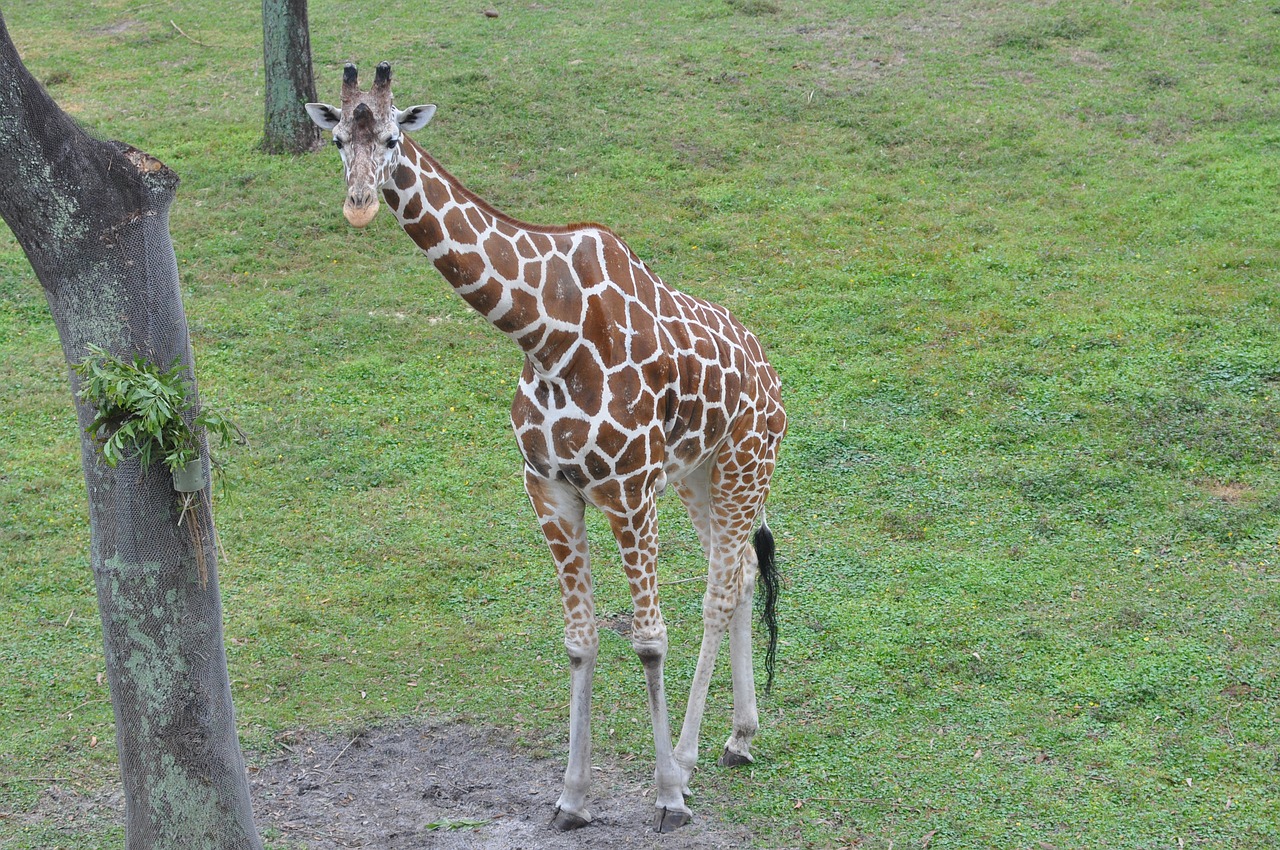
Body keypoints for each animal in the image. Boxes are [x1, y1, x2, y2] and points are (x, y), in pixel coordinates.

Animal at [308, 64, 783, 829]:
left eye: (391, 138)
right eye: (336, 139)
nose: (358, 205)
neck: (546, 332)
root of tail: (771, 376)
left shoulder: (628, 488)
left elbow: (648, 639)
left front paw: (667, 796)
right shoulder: (551, 487)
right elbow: (580, 640)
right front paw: (572, 798)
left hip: (744, 463)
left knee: (717, 589)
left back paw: (686, 759)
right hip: (698, 476)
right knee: (738, 574)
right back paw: (738, 737)